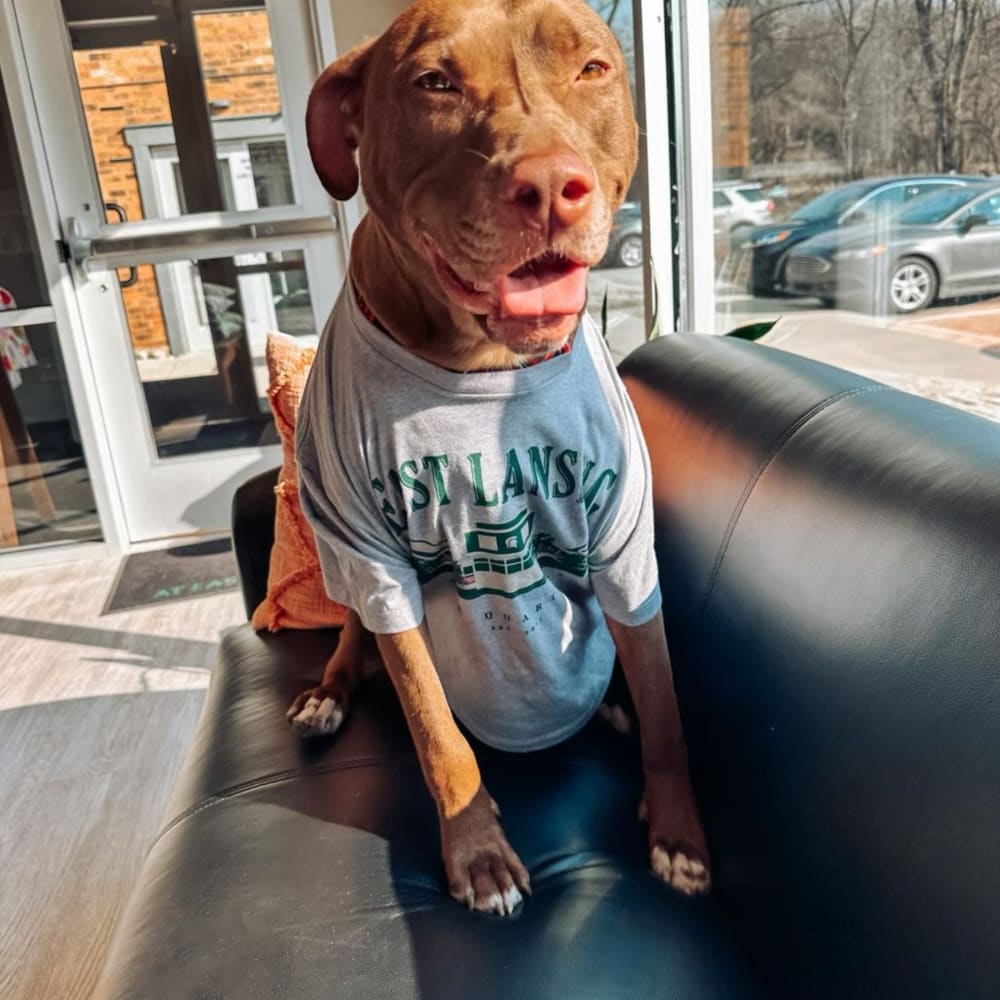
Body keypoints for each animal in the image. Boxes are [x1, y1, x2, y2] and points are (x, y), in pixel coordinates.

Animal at [288, 0, 712, 916]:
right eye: (434, 83)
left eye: (593, 69)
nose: (551, 187)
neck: (480, 368)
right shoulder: (373, 558)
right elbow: (435, 729)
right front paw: (478, 856)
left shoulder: (625, 546)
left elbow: (666, 703)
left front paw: (678, 836)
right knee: (354, 637)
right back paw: (328, 694)